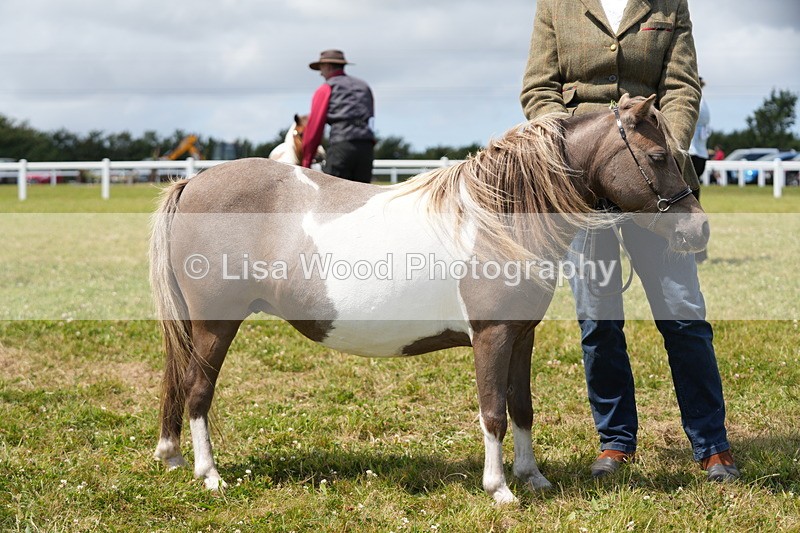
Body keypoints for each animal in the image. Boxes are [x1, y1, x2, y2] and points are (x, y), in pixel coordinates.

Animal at [150, 94, 709, 503]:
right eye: (658, 157)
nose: (698, 230)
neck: (499, 216)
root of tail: (191, 184)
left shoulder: (521, 336)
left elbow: (522, 407)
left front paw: (533, 478)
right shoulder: (491, 336)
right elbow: (493, 412)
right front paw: (500, 489)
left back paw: (174, 458)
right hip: (215, 324)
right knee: (198, 391)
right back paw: (210, 475)